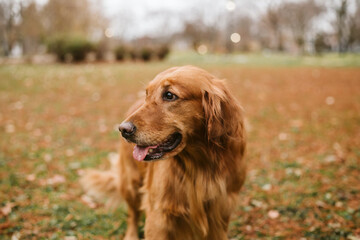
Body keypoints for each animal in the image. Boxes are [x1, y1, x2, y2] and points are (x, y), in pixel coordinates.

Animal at [80, 65, 246, 240]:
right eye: (147, 94)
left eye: (169, 95)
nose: (123, 129)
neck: (200, 167)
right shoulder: (158, 217)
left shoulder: (220, 215)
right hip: (131, 182)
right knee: (133, 214)